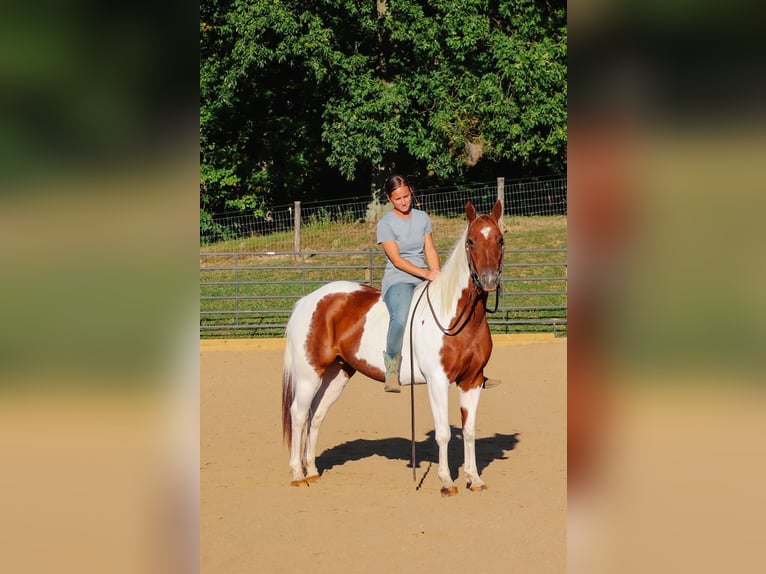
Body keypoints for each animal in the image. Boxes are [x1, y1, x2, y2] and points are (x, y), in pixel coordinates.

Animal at [281, 199, 505, 496]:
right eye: (471, 241)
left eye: (500, 240)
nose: (489, 280)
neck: (456, 317)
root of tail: (308, 300)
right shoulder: (438, 381)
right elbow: (443, 432)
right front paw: (446, 481)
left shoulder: (472, 381)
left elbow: (469, 431)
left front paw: (474, 478)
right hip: (309, 374)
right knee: (298, 414)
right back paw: (297, 474)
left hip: (338, 374)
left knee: (316, 415)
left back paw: (313, 470)